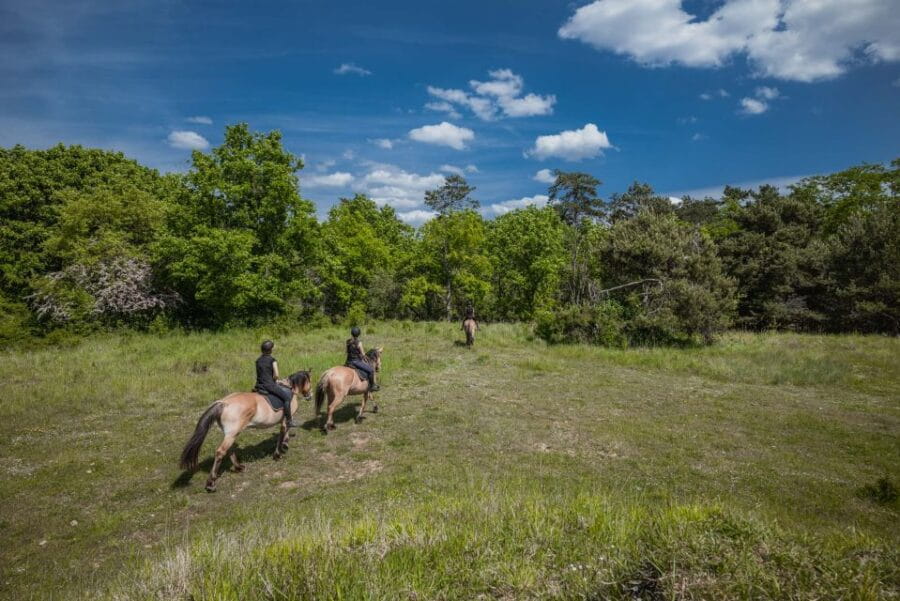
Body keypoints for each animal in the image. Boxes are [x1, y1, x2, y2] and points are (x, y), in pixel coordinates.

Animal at [179, 370, 312, 492]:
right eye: (309, 381)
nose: (310, 396)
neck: (290, 389)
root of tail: (224, 403)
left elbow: (284, 433)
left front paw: (284, 446)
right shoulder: (287, 419)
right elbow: (283, 433)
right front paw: (279, 452)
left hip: (231, 434)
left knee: (230, 449)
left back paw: (239, 467)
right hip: (232, 434)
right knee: (220, 452)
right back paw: (211, 483)